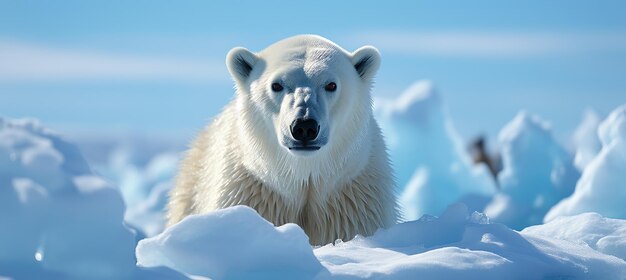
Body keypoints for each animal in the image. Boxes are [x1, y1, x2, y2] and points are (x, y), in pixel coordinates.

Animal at [167, 34, 394, 245]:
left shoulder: (351, 201)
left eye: (331, 85)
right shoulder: (253, 193)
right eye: (276, 85)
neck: (302, 177)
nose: (304, 127)